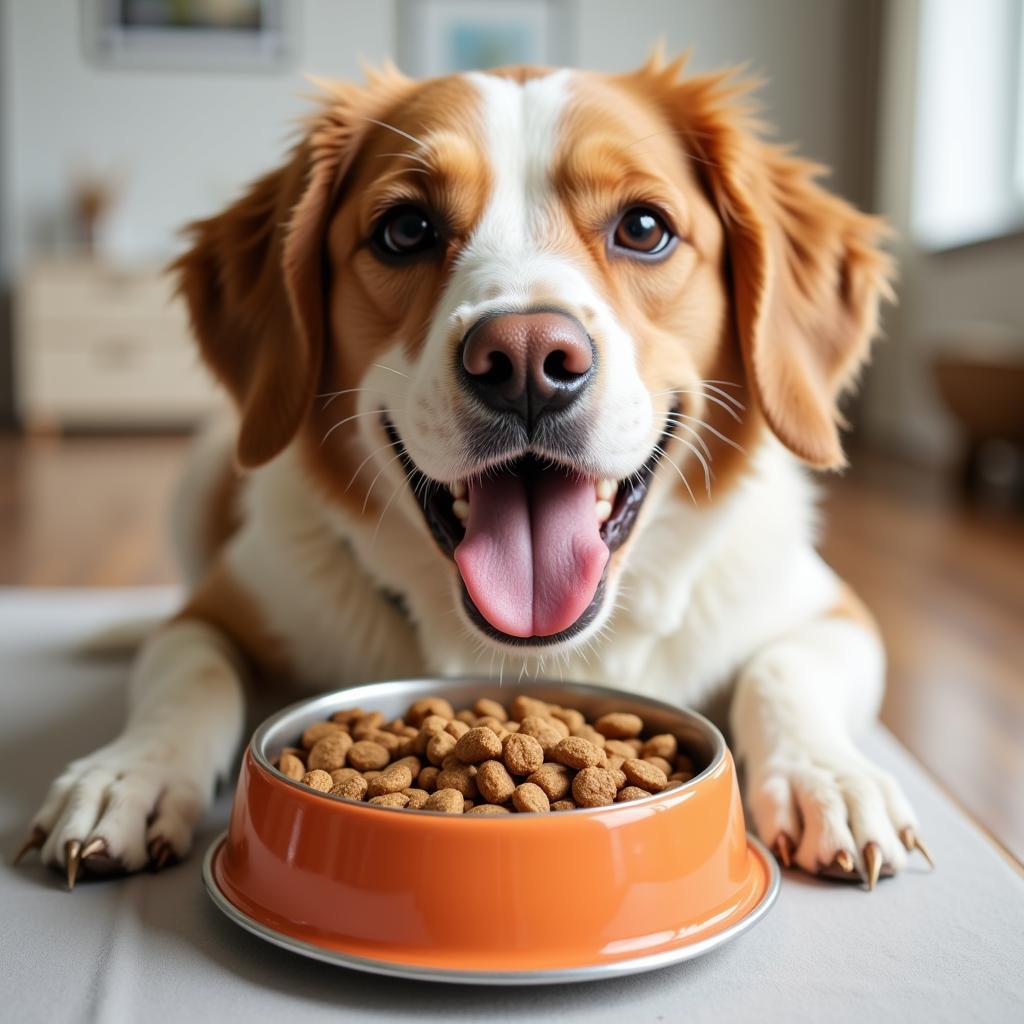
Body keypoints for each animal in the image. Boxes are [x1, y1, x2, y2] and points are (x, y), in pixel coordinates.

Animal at [18, 54, 929, 888]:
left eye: (644, 228)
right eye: (405, 230)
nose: (526, 361)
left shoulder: (831, 610)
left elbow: (783, 670)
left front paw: (829, 778)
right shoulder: (220, 607)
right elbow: (189, 672)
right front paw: (127, 773)